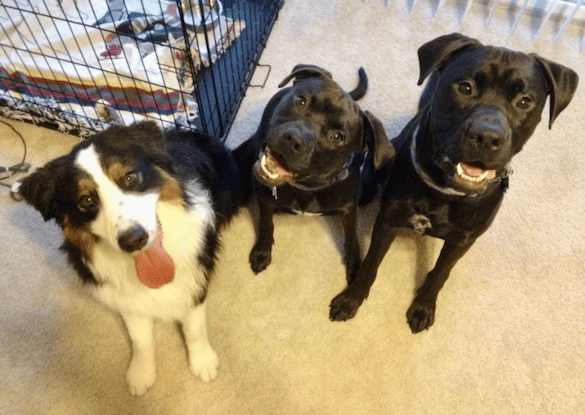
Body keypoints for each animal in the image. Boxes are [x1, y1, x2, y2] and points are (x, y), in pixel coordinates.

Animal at [235, 65, 394, 284]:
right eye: (301, 101)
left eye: (337, 136)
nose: (293, 138)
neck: (308, 186)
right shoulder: (265, 199)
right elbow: (266, 225)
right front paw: (262, 252)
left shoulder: (349, 209)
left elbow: (351, 237)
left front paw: (355, 266)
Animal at [328, 32, 580, 334]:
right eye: (466, 87)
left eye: (524, 101)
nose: (487, 136)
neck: (446, 193)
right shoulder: (388, 220)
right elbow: (370, 264)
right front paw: (352, 298)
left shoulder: (462, 240)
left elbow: (440, 273)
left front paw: (423, 306)